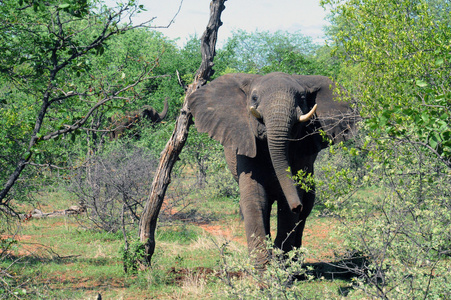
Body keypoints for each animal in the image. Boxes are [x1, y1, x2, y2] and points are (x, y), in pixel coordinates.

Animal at [187, 72, 356, 264]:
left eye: (302, 99)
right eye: (254, 98)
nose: (296, 206)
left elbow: (287, 202)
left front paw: (280, 265)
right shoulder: (245, 143)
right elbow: (255, 199)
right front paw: (263, 270)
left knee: (307, 206)